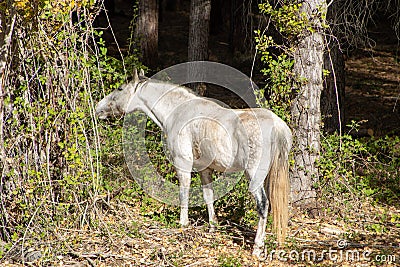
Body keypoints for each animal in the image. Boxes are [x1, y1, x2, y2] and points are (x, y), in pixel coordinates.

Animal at [95, 69, 292, 258]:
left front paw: (183, 224)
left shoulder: (182, 163)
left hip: (254, 175)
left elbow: (184, 193)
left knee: (263, 205)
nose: (98, 108)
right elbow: (208, 196)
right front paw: (213, 228)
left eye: (120, 89)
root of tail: (276, 125)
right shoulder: (205, 169)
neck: (178, 112)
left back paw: (257, 248)